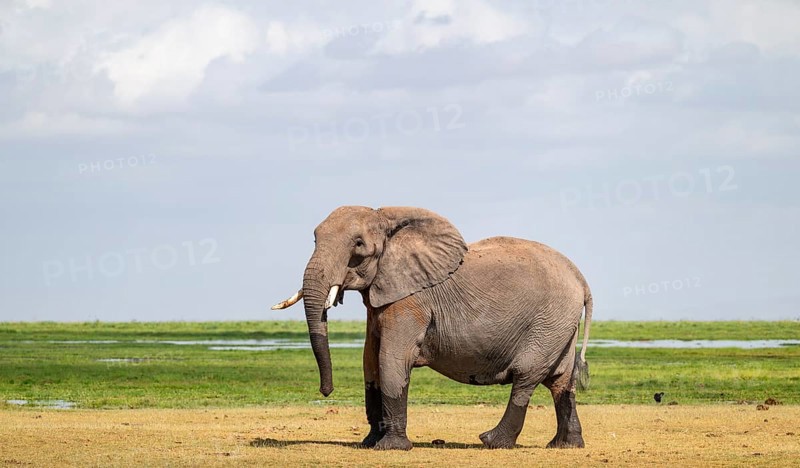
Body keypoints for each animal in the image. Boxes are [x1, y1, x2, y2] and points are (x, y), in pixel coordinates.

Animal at [272, 206, 593, 450]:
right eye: (314, 239)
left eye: (359, 245)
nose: (326, 391)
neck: (388, 220)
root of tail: (582, 280)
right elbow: (370, 363)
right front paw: (369, 443)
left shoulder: (411, 301)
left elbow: (390, 361)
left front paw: (390, 448)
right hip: (560, 324)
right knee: (561, 381)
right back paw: (564, 445)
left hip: (548, 322)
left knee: (526, 377)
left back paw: (492, 441)